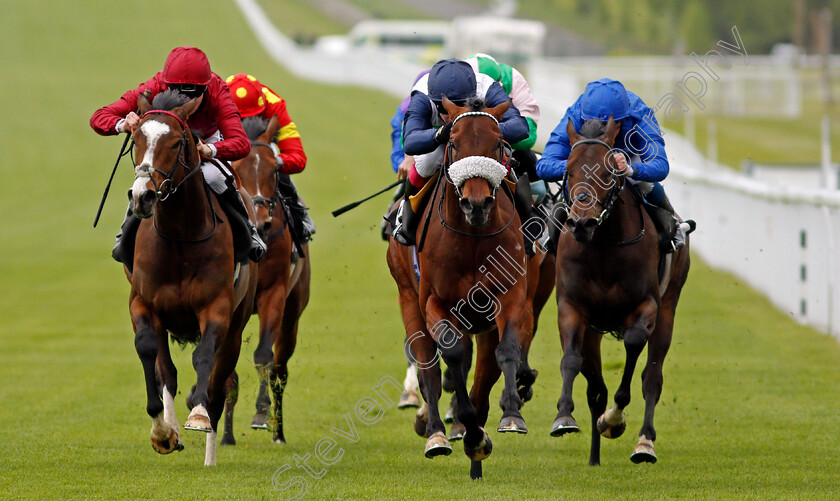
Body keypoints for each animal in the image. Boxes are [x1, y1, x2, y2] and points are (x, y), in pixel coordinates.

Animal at [127, 90, 260, 464]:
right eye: (136, 139)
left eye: (175, 142)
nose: (142, 196)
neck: (180, 237)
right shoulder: (143, 303)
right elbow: (151, 354)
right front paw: (162, 431)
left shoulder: (217, 307)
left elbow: (204, 358)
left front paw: (198, 416)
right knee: (168, 372)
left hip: (237, 325)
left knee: (219, 380)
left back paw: (210, 451)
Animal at [223, 115, 312, 444]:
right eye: (235, 167)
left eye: (275, 168)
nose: (261, 223)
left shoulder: (274, 293)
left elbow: (263, 355)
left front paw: (261, 413)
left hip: (293, 311)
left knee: (280, 369)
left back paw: (279, 431)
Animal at [388, 96, 544, 476]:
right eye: (454, 143)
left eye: (498, 143)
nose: (476, 203)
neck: (472, 239)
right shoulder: (435, 302)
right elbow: (454, 355)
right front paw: (469, 431)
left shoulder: (511, 296)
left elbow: (506, 351)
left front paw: (511, 414)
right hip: (407, 297)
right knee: (428, 366)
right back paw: (436, 432)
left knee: (486, 368)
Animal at [548, 117, 692, 464]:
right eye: (569, 170)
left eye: (607, 172)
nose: (581, 223)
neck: (603, 246)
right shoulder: (572, 307)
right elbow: (572, 361)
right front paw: (564, 417)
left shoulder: (646, 306)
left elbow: (634, 345)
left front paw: (614, 420)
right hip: (593, 329)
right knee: (594, 386)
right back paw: (594, 456)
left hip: (669, 306)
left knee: (652, 377)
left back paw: (644, 443)